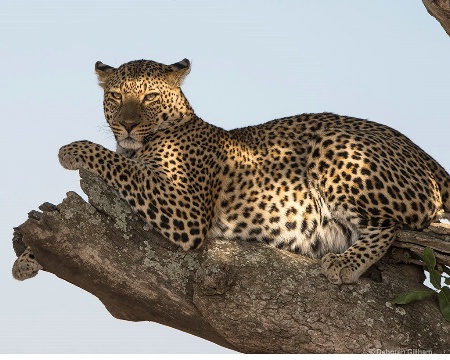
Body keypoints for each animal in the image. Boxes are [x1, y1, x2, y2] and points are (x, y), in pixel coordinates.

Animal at [12, 58, 448, 284]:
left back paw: (346, 263)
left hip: (336, 147)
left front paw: (72, 150)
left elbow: (119, 165)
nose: (129, 124)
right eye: (116, 97)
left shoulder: (185, 211)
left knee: (393, 226)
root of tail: (422, 152)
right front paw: (26, 259)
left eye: (149, 96)